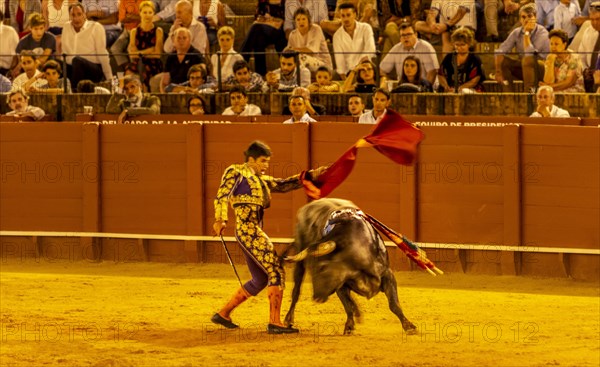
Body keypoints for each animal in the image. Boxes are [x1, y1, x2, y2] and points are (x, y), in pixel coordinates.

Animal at [282, 200, 418, 334]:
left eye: (322, 267)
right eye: (312, 269)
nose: (316, 298)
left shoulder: (388, 275)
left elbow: (394, 305)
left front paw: (409, 326)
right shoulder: (340, 284)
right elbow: (348, 305)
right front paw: (349, 326)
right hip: (300, 261)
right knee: (296, 290)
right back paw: (289, 319)